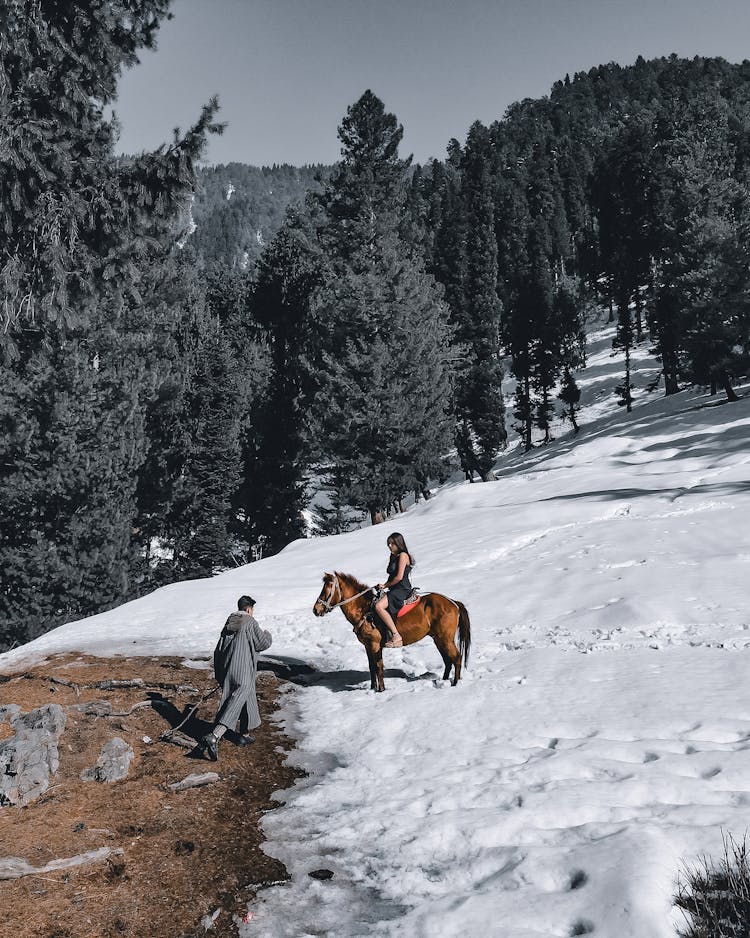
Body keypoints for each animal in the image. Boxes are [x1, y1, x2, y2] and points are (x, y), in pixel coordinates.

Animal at [314, 568, 472, 692]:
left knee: (456, 658)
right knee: (448, 661)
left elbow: (378, 667)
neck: (364, 610)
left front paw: (381, 690)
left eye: (326, 590)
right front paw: (373, 688)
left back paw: (455, 683)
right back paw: (444, 681)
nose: (316, 610)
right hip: (438, 639)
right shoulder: (367, 646)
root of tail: (453, 603)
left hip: (445, 639)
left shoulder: (375, 645)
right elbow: (371, 667)